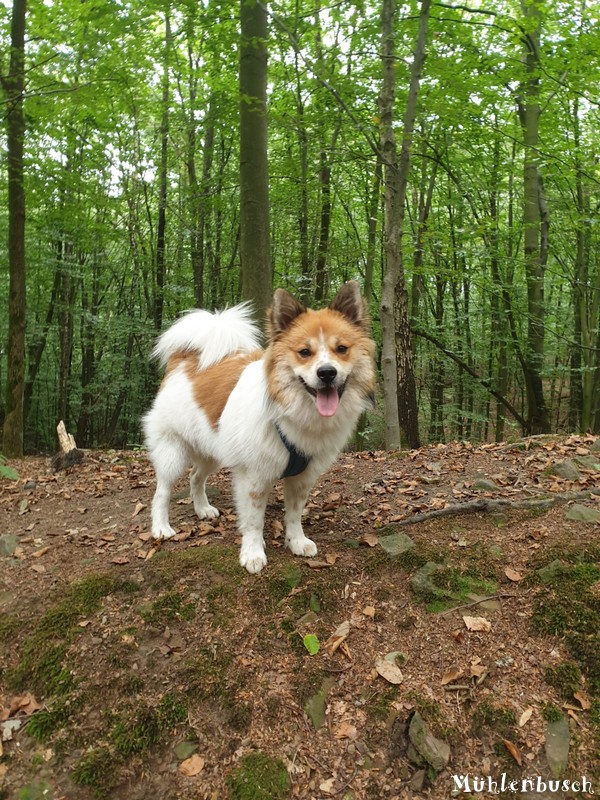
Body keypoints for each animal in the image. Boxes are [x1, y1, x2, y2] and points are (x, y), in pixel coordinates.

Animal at [142, 278, 376, 572]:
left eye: (342, 349)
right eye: (304, 352)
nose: (326, 373)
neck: (289, 413)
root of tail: (185, 359)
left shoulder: (303, 476)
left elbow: (294, 513)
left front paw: (296, 541)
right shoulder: (252, 476)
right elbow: (254, 521)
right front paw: (253, 553)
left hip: (212, 450)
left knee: (196, 477)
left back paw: (203, 509)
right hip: (172, 451)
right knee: (162, 491)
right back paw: (161, 527)